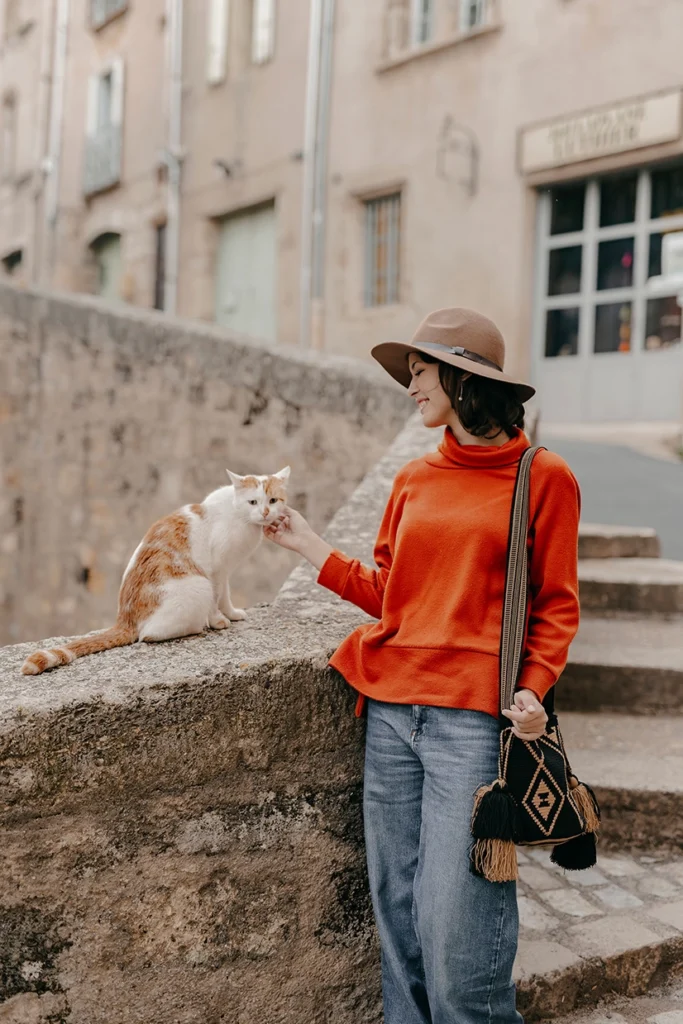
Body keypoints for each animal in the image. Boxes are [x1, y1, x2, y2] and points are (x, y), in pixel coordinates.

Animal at [20, 468, 288, 675]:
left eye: (273, 501)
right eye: (253, 502)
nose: (265, 512)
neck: (239, 515)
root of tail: (124, 618)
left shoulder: (225, 571)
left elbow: (226, 596)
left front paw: (232, 614)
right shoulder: (216, 570)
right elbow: (216, 599)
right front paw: (218, 620)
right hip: (197, 586)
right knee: (148, 635)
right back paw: (197, 626)